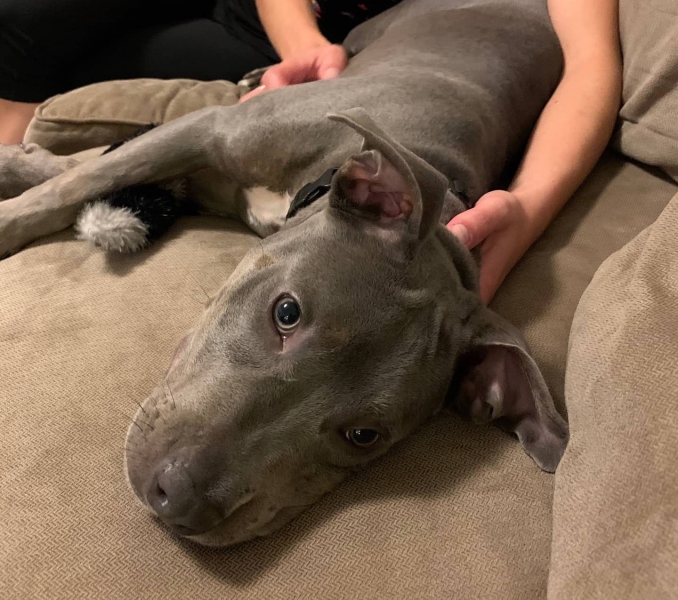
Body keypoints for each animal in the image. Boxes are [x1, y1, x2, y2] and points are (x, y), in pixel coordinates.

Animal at [0, 0, 567, 547]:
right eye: (287, 313)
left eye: (363, 435)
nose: (178, 499)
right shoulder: (209, 130)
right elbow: (82, 177)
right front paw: (18, 184)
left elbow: (95, 171)